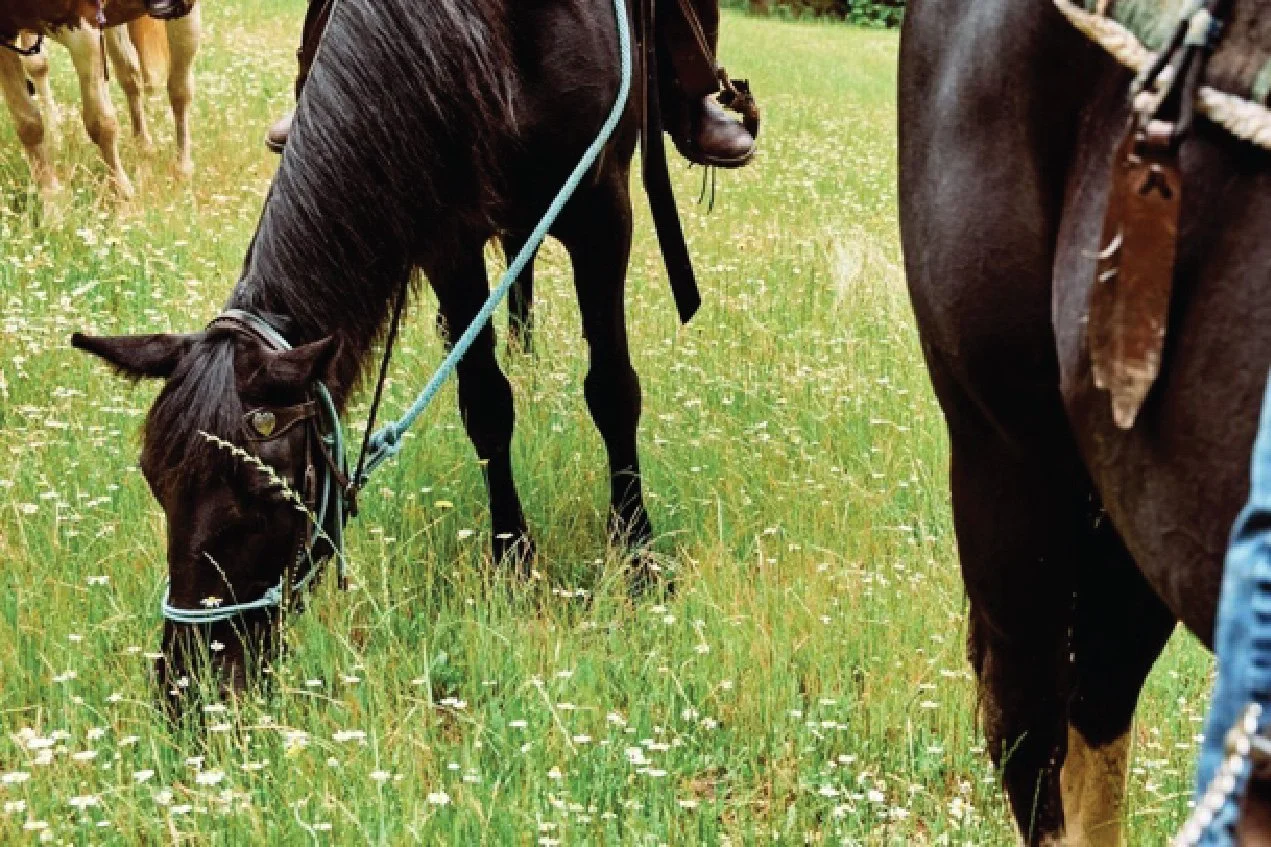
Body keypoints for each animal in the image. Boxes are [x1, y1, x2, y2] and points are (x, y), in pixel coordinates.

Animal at [0, 1, 199, 196]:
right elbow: (28, 124)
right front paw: (51, 198)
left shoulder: (85, 30)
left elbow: (100, 124)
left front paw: (121, 193)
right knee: (130, 75)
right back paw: (143, 147)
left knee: (179, 90)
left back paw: (182, 170)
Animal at [72, 0, 651, 713]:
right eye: (156, 483)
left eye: (264, 493)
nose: (187, 688)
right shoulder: (450, 233)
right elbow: (487, 404)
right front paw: (513, 561)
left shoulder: (603, 207)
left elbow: (612, 391)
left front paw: (640, 560)